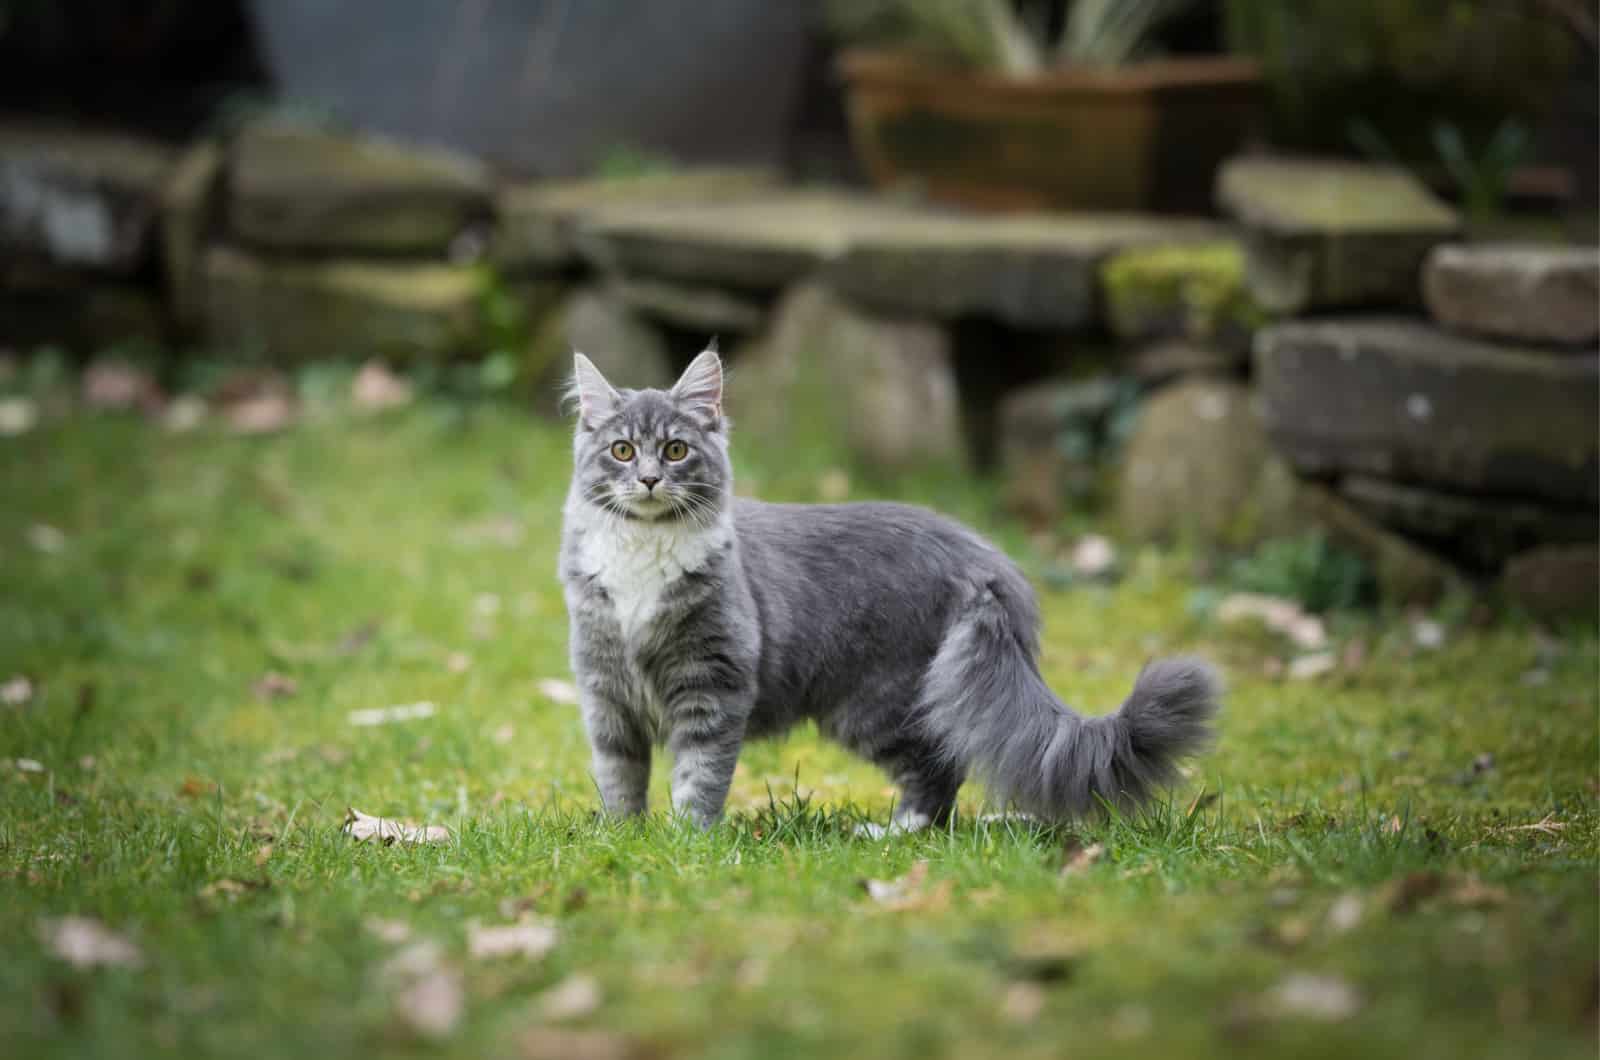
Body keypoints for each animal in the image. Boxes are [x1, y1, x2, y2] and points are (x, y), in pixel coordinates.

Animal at [556, 347, 1216, 832]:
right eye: (621, 450)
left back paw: (892, 831)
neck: (642, 552)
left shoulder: (712, 681)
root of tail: (979, 555)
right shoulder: (604, 685)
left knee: (938, 775)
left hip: (876, 702)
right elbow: (620, 774)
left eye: (675, 450)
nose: (647, 479)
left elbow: (699, 773)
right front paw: (625, 836)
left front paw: (690, 839)